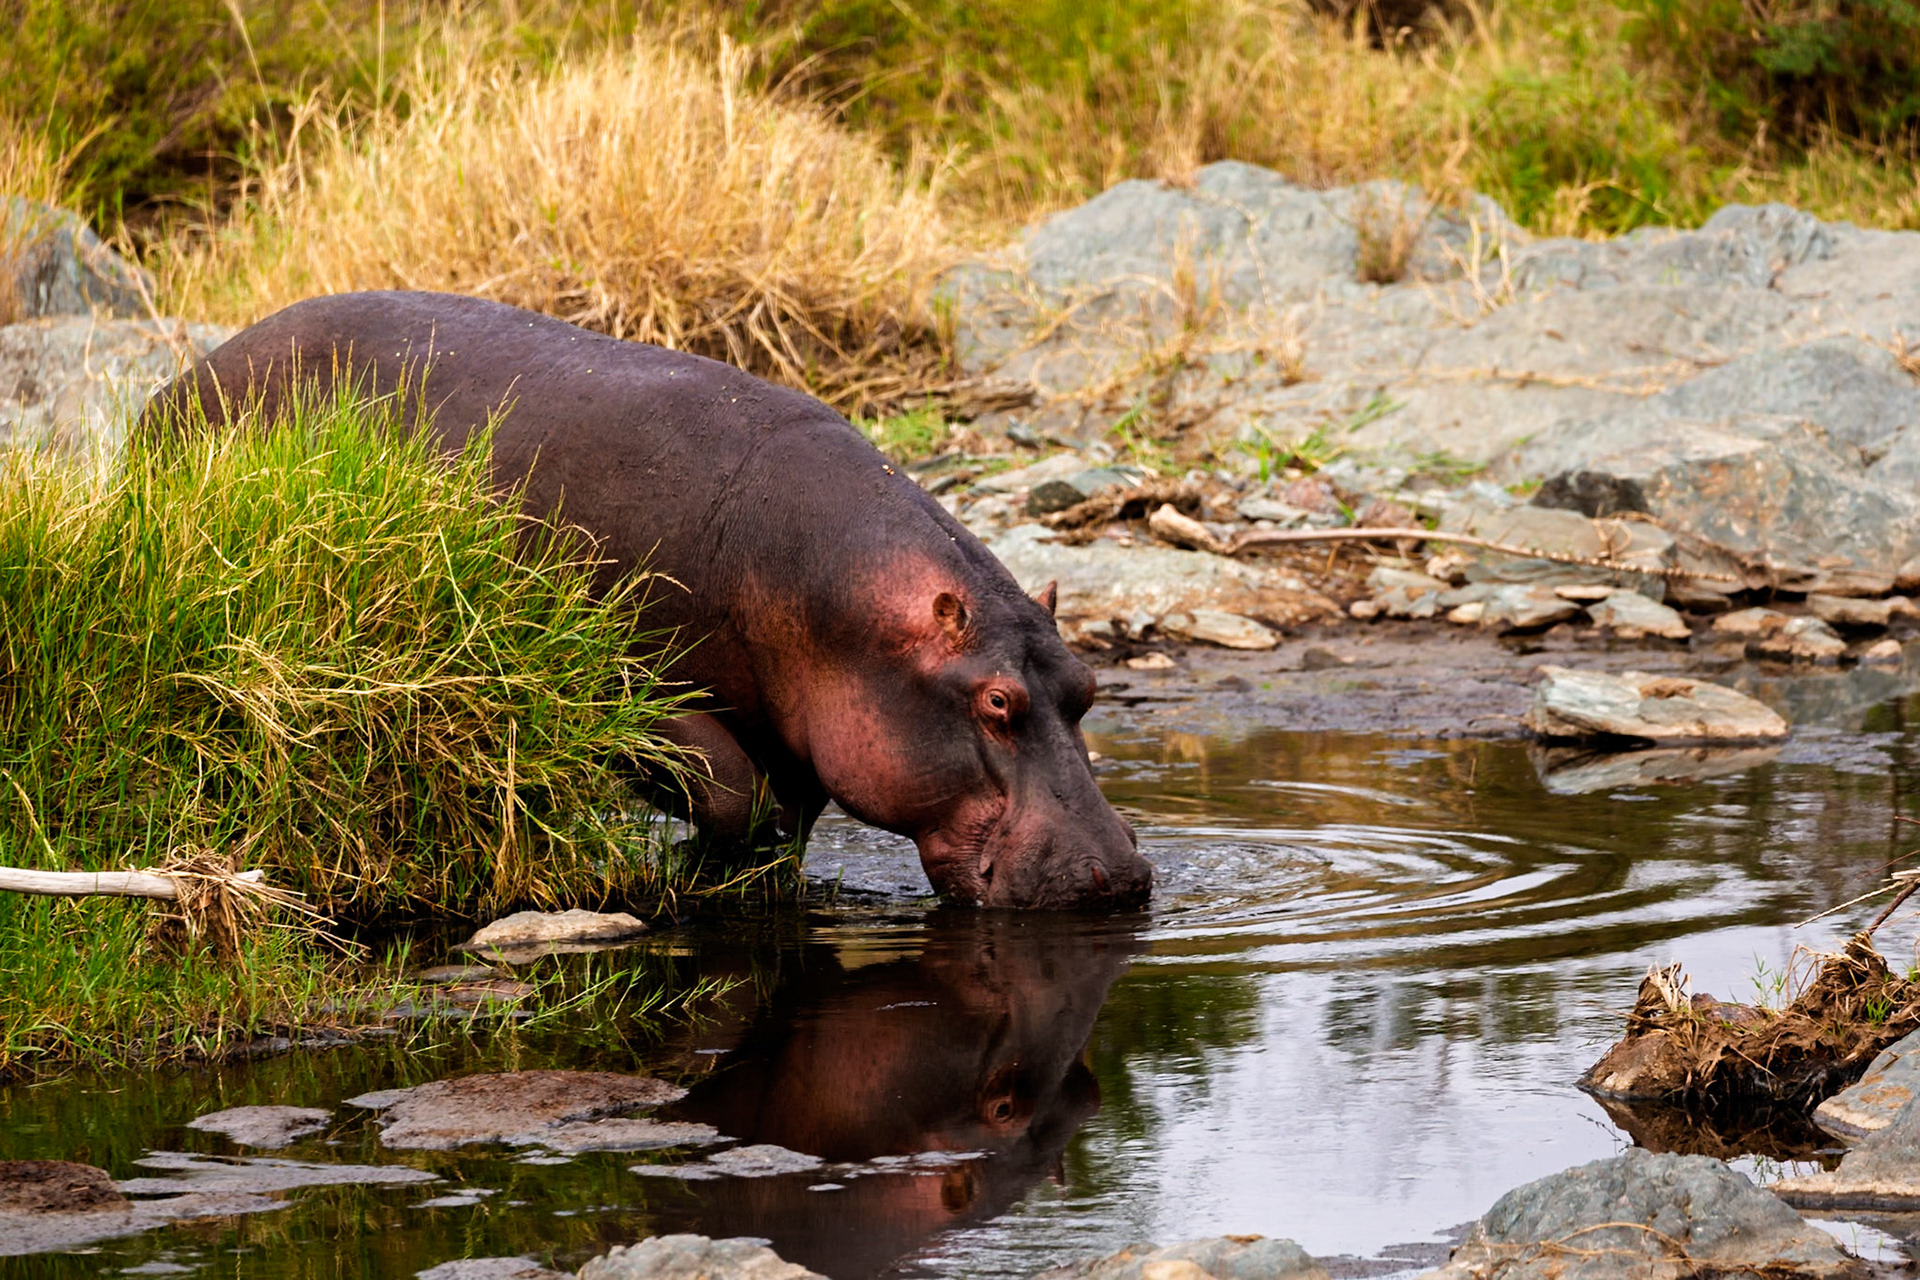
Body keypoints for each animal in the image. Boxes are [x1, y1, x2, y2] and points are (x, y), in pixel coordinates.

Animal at [143, 291, 1151, 908]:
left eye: (1089, 686)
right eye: (997, 703)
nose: (1118, 875)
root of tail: (181, 383)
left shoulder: (805, 724)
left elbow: (787, 819)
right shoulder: (628, 683)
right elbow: (736, 793)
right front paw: (679, 863)